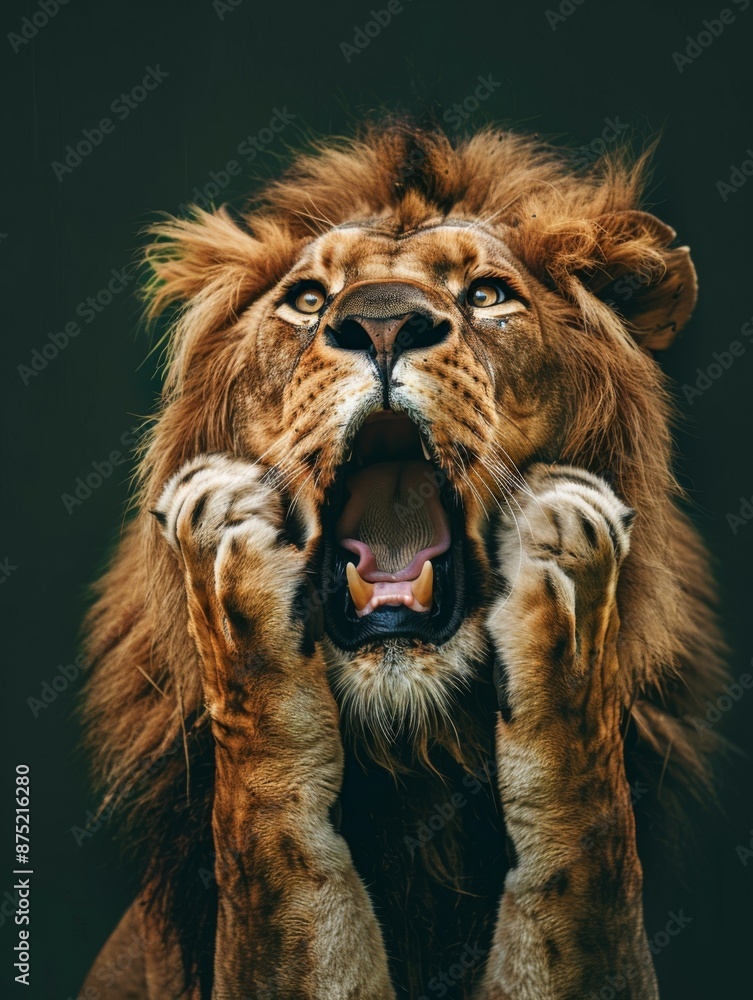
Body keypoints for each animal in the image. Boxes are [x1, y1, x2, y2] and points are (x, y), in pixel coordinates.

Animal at [80, 122, 725, 999]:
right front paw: (223, 544)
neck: (412, 755)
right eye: (308, 300)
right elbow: (272, 832)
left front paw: (564, 560)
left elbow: (585, 833)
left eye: (485, 295)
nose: (382, 323)